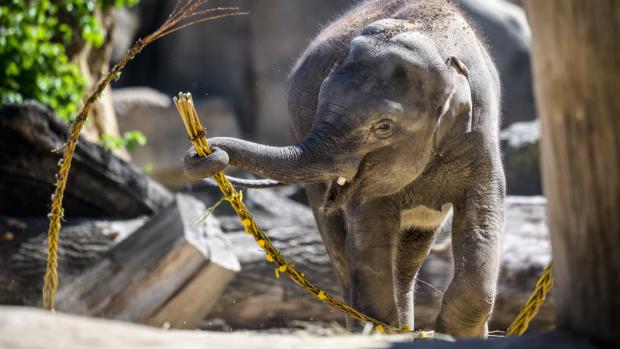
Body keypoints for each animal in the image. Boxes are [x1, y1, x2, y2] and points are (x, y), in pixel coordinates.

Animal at [183, 0, 504, 338]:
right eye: (321, 98)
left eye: (384, 127)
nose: (205, 150)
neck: (434, 39)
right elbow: (370, 235)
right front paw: (382, 331)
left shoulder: (478, 136)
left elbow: (483, 218)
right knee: (344, 255)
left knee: (407, 260)